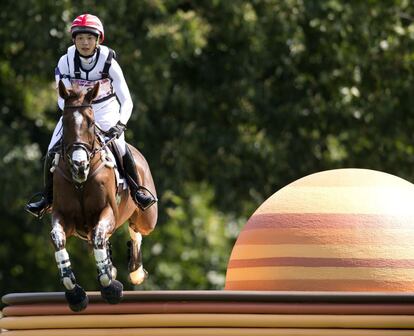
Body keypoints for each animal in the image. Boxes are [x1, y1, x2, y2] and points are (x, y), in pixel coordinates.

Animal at [50, 80, 156, 312]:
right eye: (65, 122)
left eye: (91, 123)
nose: (79, 165)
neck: (80, 180)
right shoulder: (63, 216)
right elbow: (58, 240)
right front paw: (75, 293)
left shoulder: (107, 212)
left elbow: (99, 237)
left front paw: (110, 287)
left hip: (148, 217)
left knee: (136, 228)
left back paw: (135, 271)